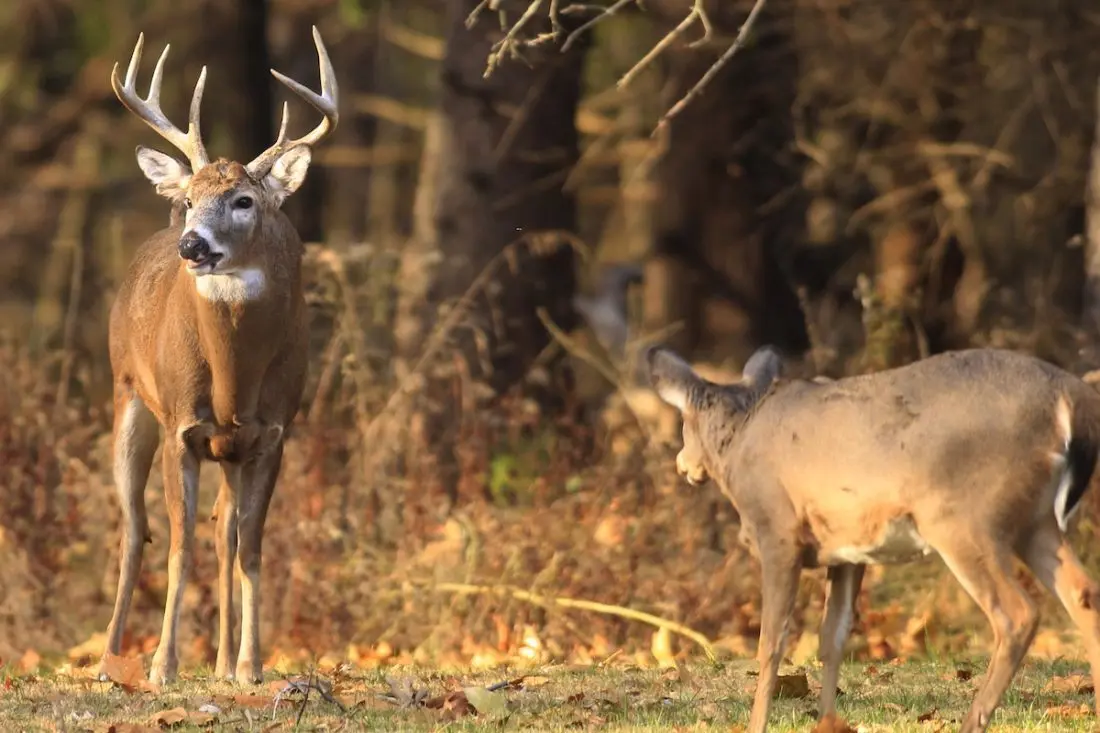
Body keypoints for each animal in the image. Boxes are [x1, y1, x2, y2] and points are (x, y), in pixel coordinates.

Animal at [98, 27, 338, 685]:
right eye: (190, 199)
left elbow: (250, 545)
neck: (235, 380)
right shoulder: (182, 426)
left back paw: (226, 661)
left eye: (243, 201)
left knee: (222, 529)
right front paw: (162, 667)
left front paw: (252, 666)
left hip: (229, 452)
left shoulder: (272, 432)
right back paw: (108, 660)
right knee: (135, 529)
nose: (192, 244)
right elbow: (177, 547)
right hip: (127, 395)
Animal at [646, 345, 1100, 733]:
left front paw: (757, 724)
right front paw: (827, 722)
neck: (739, 439)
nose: (682, 464)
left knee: (1017, 613)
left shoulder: (777, 531)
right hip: (1036, 520)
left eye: (684, 424)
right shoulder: (847, 552)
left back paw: (973, 721)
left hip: (963, 518)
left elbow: (771, 643)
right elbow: (832, 638)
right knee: (1083, 594)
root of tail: (1071, 400)